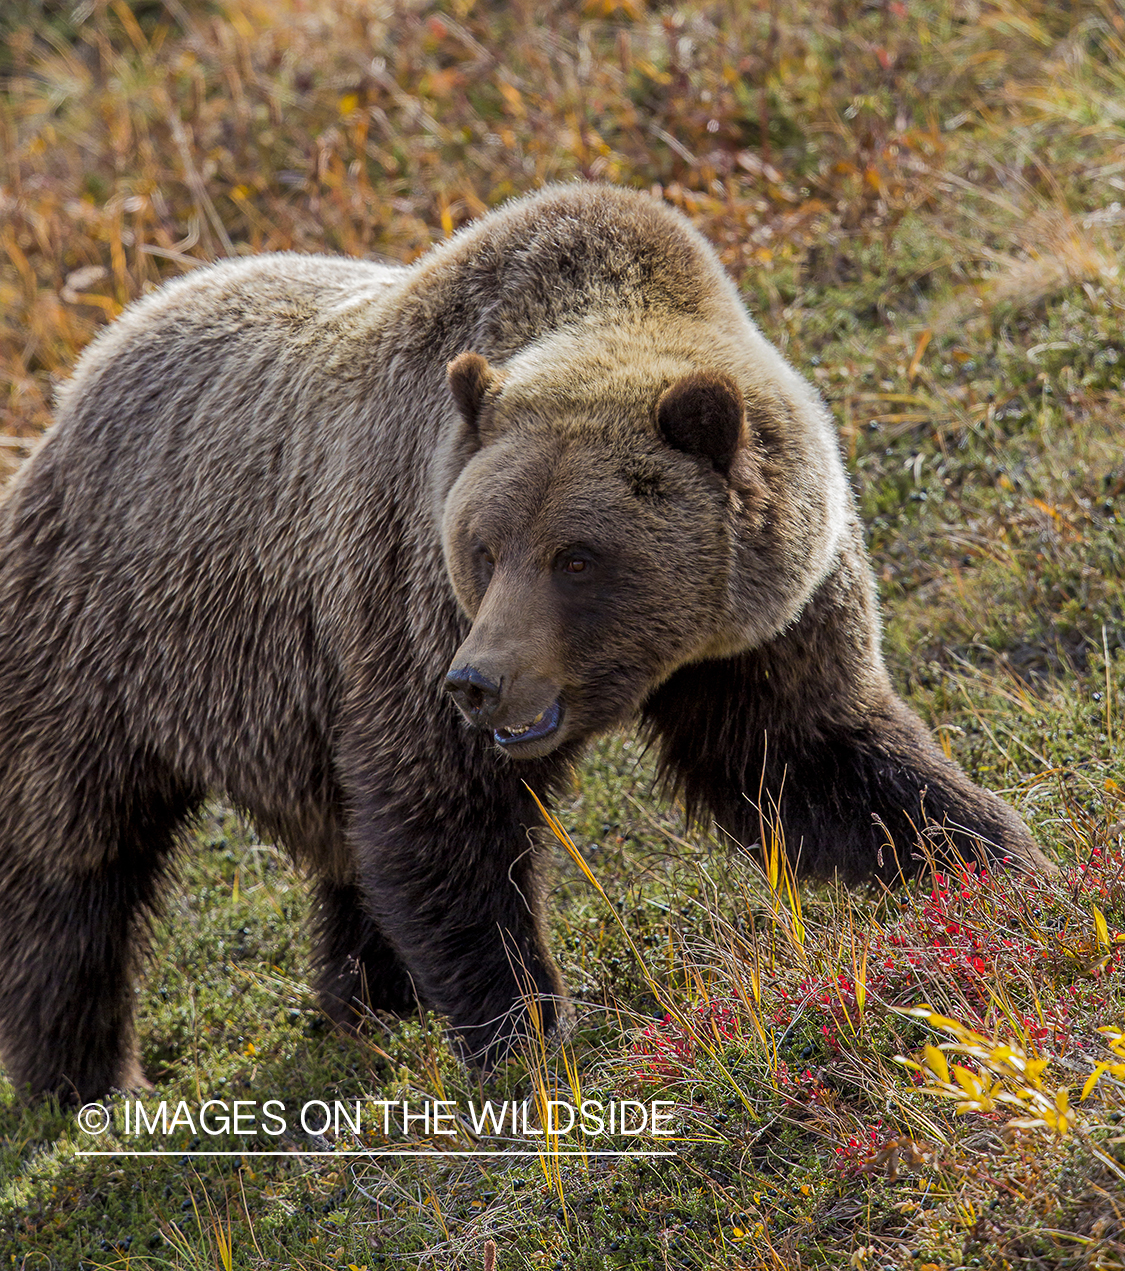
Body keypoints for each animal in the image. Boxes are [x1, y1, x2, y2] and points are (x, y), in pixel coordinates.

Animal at [0, 183, 1052, 1103]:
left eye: (577, 557)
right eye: (481, 544)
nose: (479, 681)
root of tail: (82, 371)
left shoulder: (761, 630)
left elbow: (812, 752)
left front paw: (991, 857)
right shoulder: (405, 601)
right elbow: (443, 817)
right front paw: (523, 1029)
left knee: (339, 839)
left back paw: (368, 997)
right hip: (109, 644)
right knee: (69, 861)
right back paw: (85, 1076)